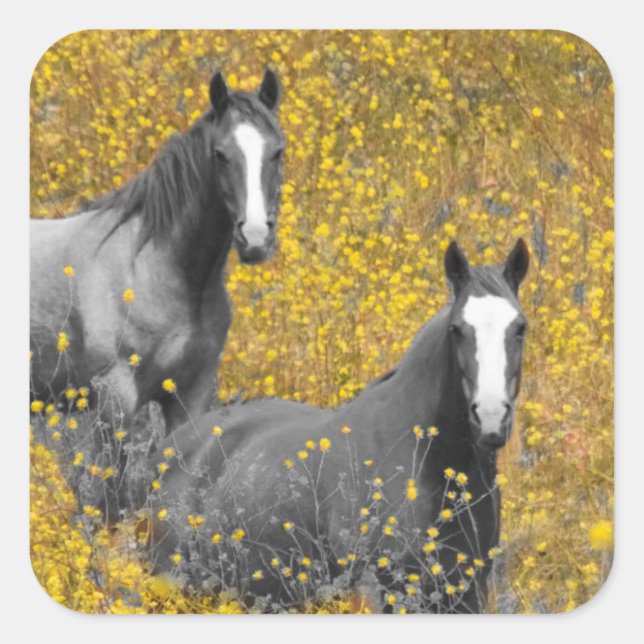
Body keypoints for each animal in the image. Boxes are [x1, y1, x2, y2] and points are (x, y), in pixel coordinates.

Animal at [30, 69, 285, 520]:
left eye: (277, 152)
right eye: (220, 154)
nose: (255, 238)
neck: (156, 267)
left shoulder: (189, 396)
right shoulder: (115, 399)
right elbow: (111, 499)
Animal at [135, 239, 530, 613]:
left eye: (520, 327)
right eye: (457, 330)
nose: (491, 417)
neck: (425, 459)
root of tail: (168, 450)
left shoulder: (467, 594)